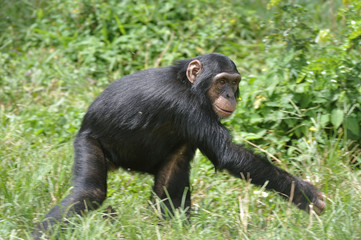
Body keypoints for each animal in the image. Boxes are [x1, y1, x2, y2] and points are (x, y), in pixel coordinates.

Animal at [33, 53, 324, 239]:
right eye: (221, 81)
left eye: (234, 82)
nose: (229, 95)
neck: (190, 85)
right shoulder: (188, 106)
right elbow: (229, 155)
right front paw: (305, 194)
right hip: (89, 142)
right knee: (89, 192)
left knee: (173, 172)